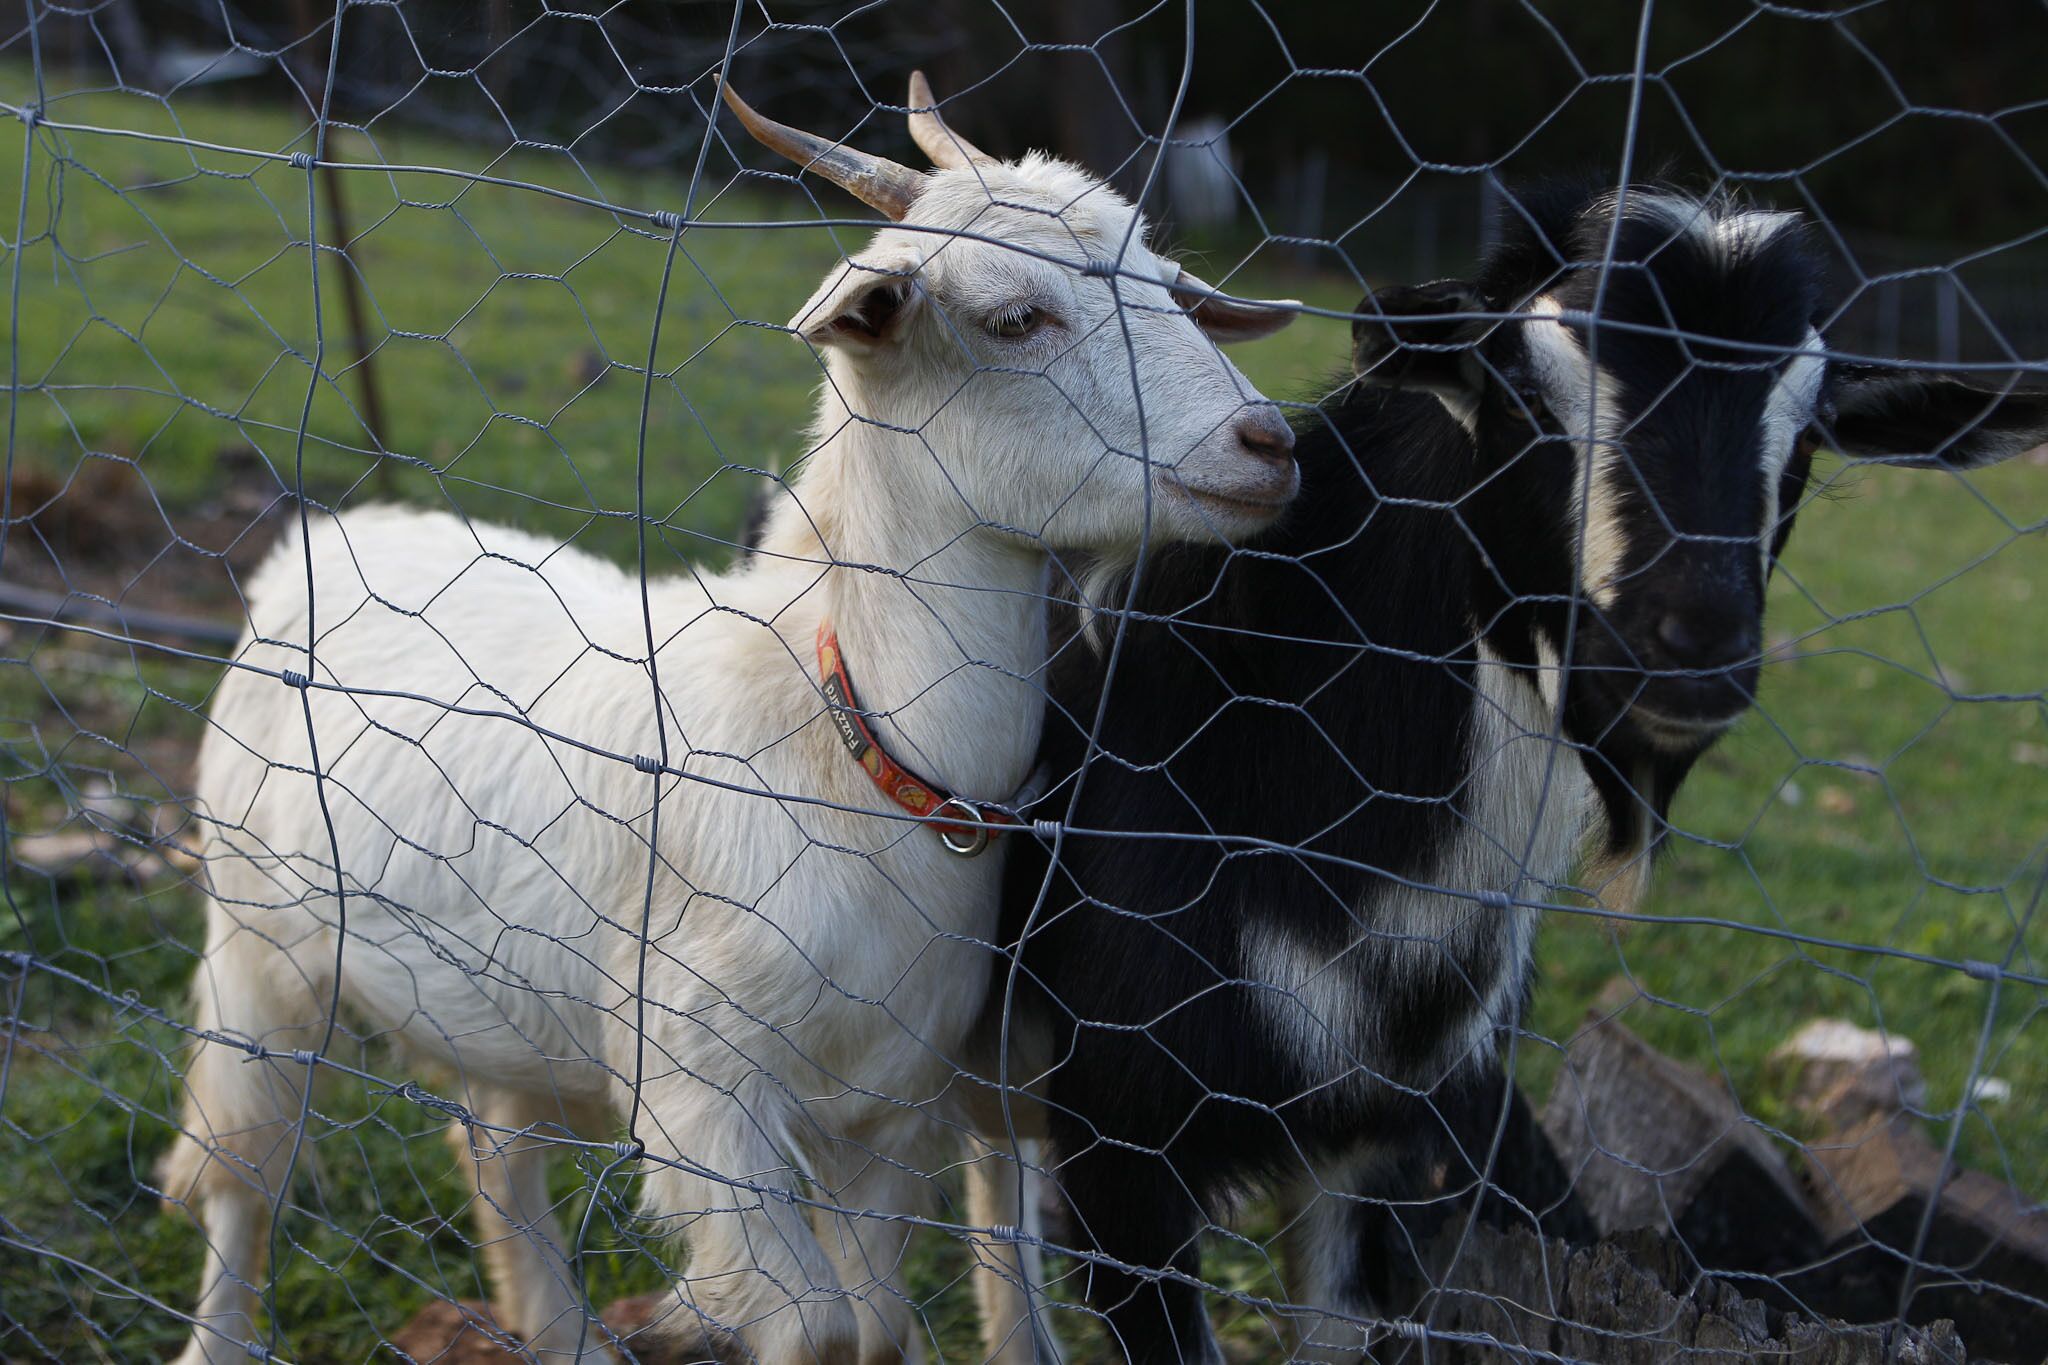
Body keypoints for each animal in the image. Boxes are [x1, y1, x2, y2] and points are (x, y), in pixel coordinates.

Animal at [167, 77, 1302, 1365]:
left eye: (1172, 290)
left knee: (496, 1149)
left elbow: (874, 1326)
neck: (848, 751)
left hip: (509, 1002)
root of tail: (328, 537)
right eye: (1015, 317)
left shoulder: (883, 1104)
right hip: (255, 940)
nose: (1267, 445)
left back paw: (560, 1334)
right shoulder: (696, 1087)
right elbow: (813, 1326)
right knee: (241, 1167)